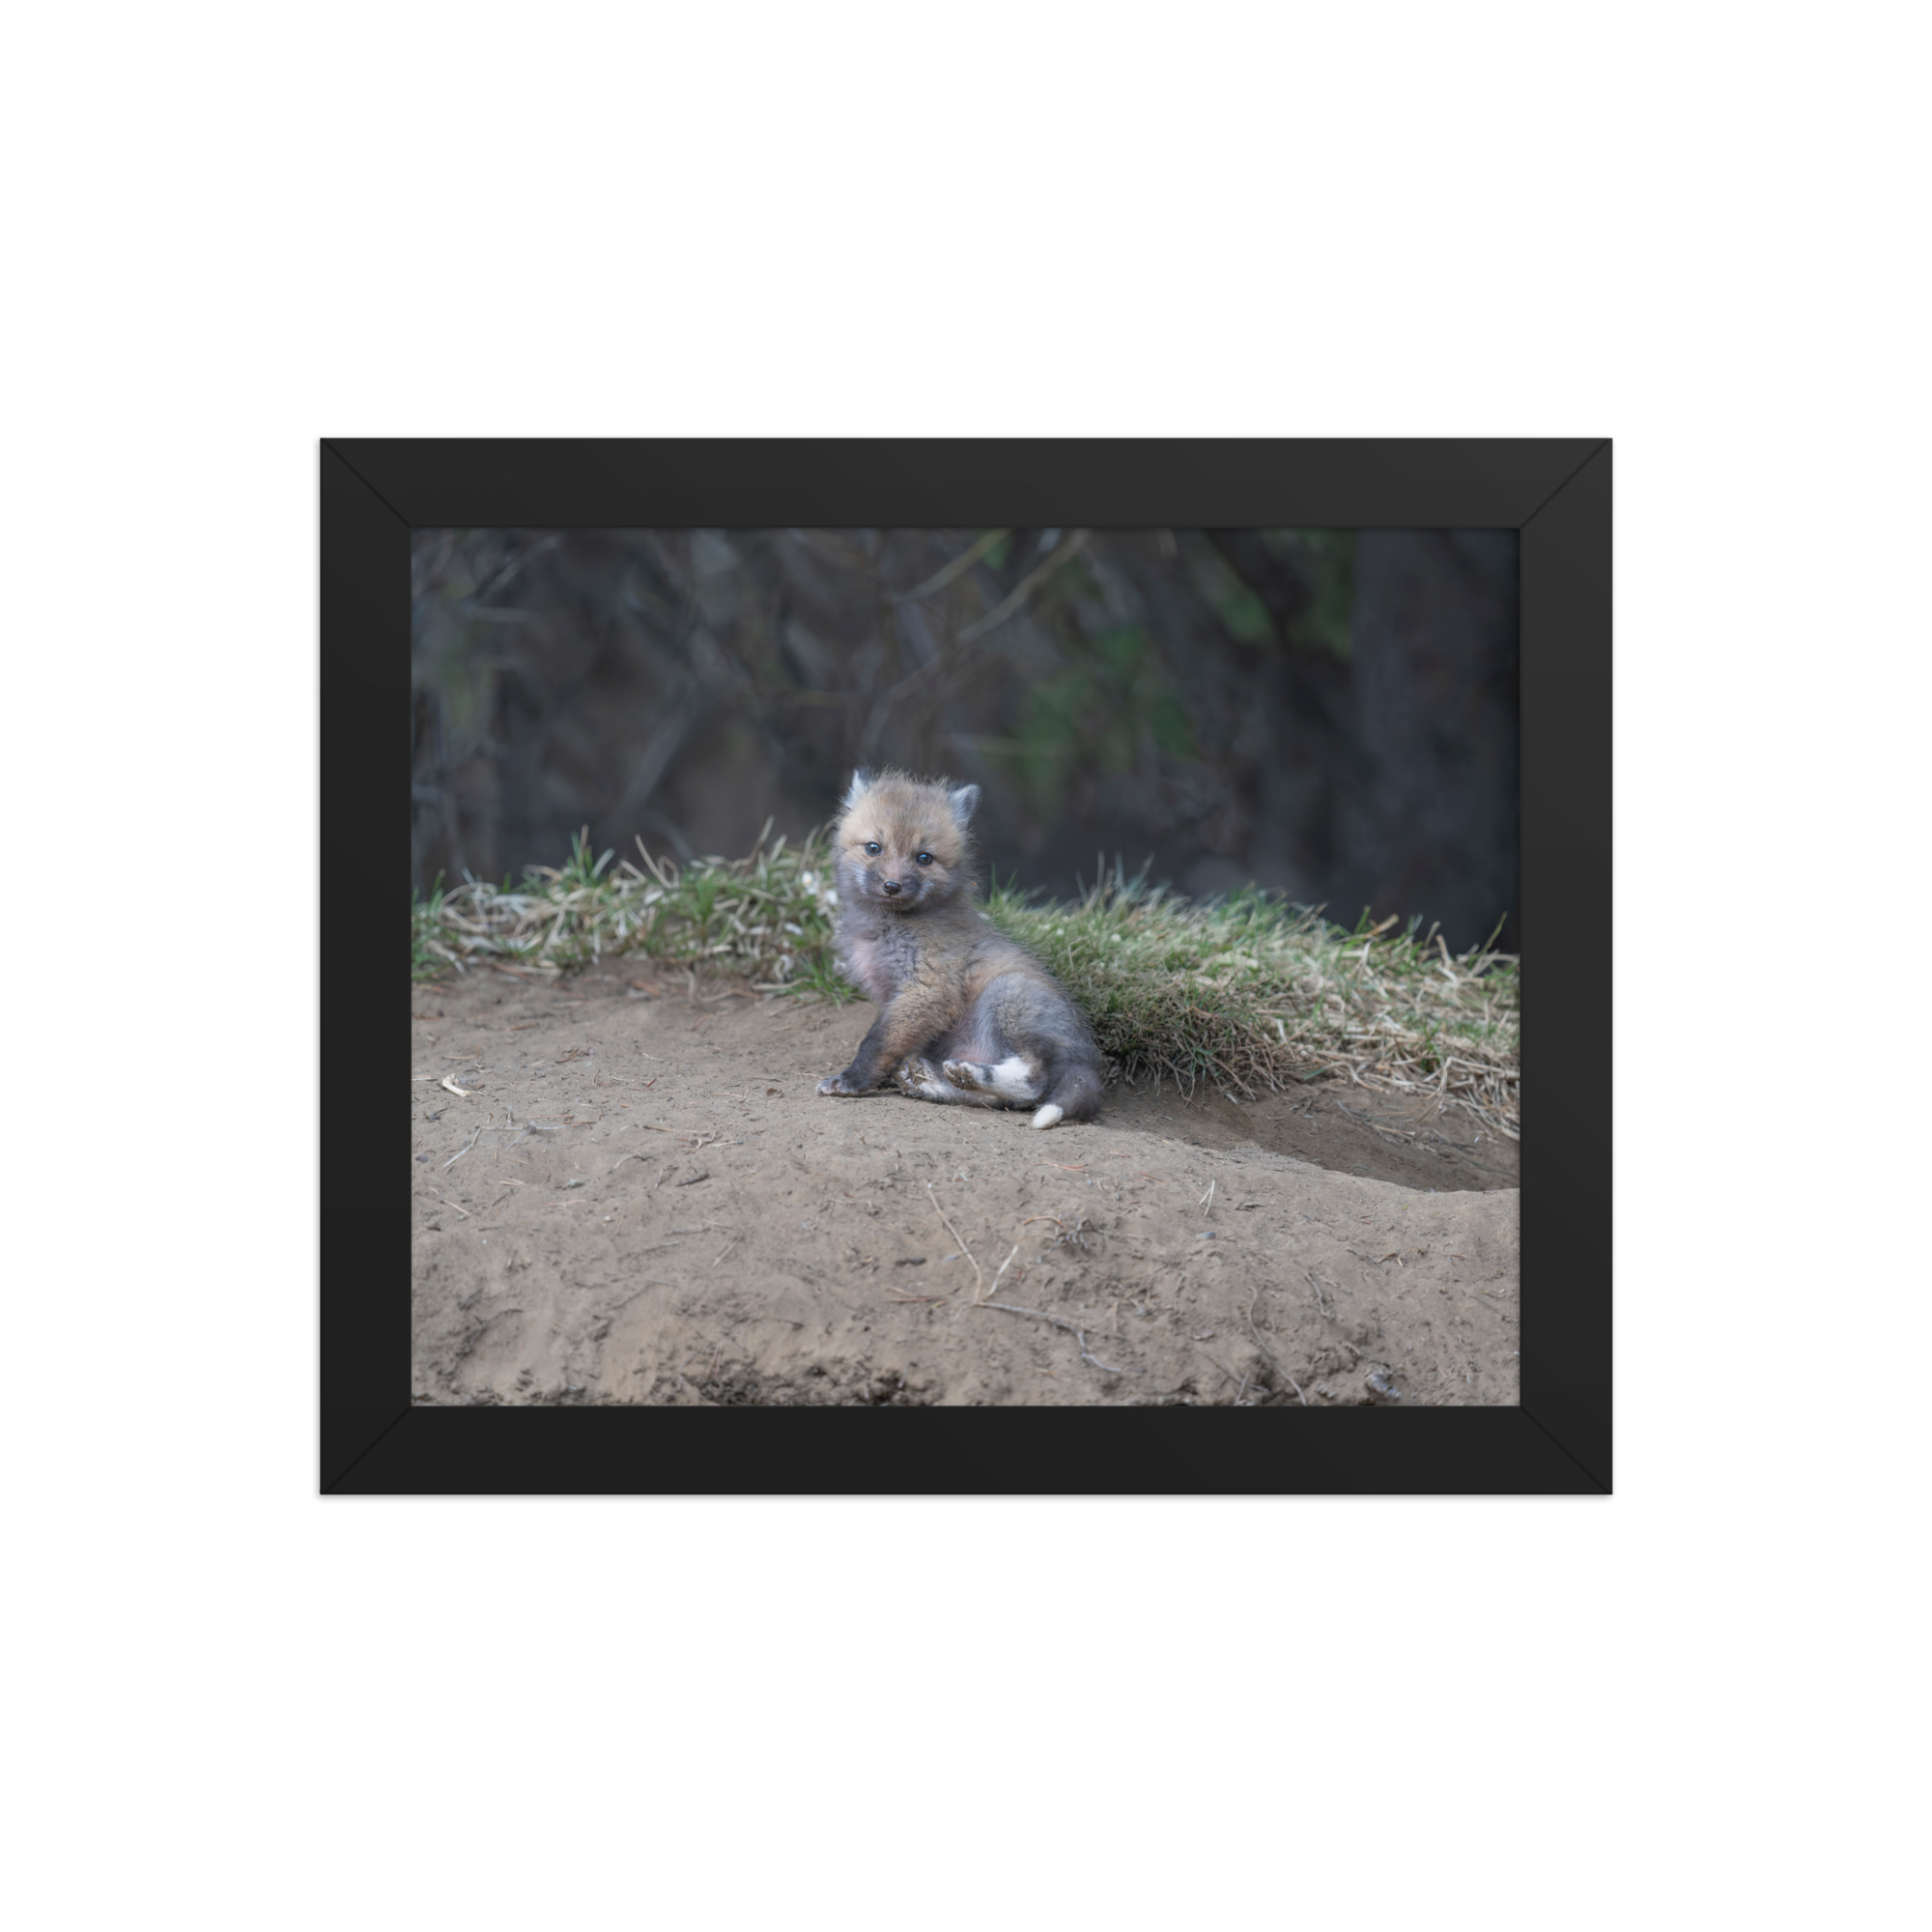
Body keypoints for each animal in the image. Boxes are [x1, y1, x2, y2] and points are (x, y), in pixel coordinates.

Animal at [814, 768, 1105, 1130]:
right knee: (1000, 1101)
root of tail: (1086, 1057)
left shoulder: (928, 988)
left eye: (924, 858)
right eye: (873, 848)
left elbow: (877, 1042)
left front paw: (852, 1080)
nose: (892, 886)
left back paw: (969, 1074)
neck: (887, 927)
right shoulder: (897, 997)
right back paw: (933, 1081)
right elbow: (891, 1042)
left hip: (1005, 996)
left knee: (1032, 1082)